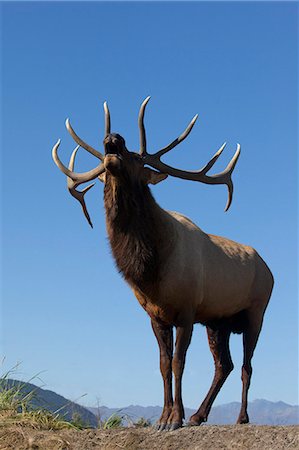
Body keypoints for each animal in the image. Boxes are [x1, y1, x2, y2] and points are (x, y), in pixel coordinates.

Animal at [51, 97, 274, 428]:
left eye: (136, 158)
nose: (113, 137)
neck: (151, 274)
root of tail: (270, 270)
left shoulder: (187, 310)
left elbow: (179, 363)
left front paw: (175, 418)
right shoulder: (156, 316)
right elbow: (162, 364)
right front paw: (164, 417)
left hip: (256, 312)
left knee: (247, 366)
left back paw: (241, 417)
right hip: (217, 321)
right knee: (225, 365)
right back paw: (198, 415)